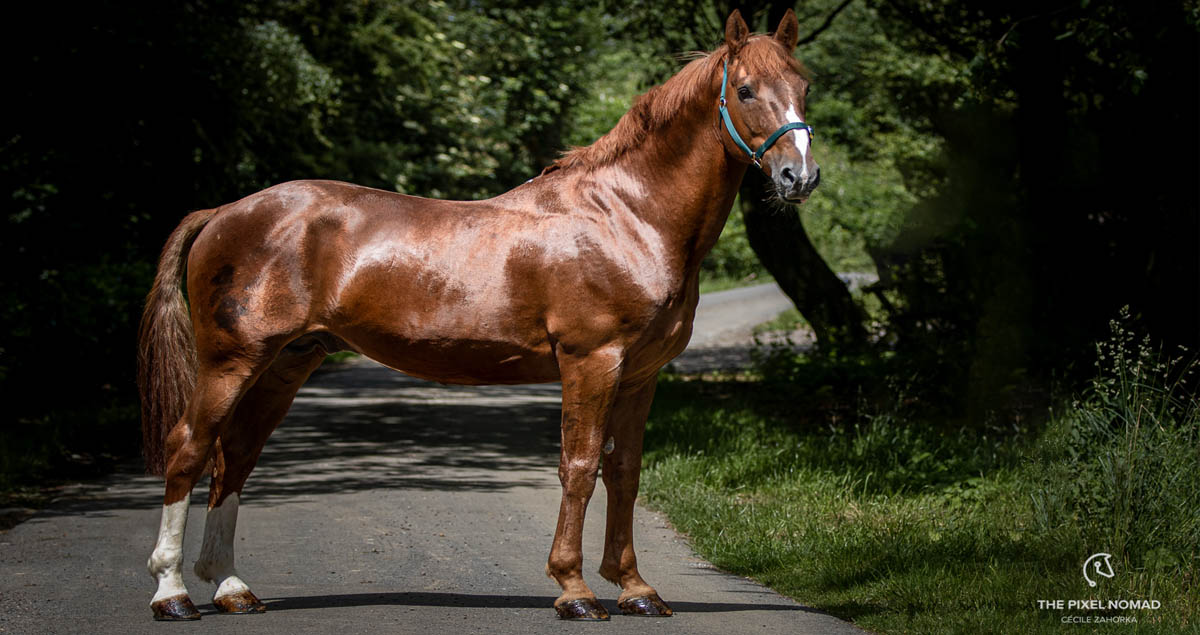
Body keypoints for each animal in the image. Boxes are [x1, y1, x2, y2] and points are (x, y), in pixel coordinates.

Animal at [138, 9, 816, 619]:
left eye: (804, 86)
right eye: (745, 89)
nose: (799, 176)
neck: (627, 217)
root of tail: (225, 212)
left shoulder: (641, 374)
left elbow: (624, 470)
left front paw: (635, 589)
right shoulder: (591, 361)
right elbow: (579, 466)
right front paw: (574, 590)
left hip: (286, 363)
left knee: (236, 455)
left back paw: (231, 588)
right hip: (231, 361)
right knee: (190, 448)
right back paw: (172, 594)